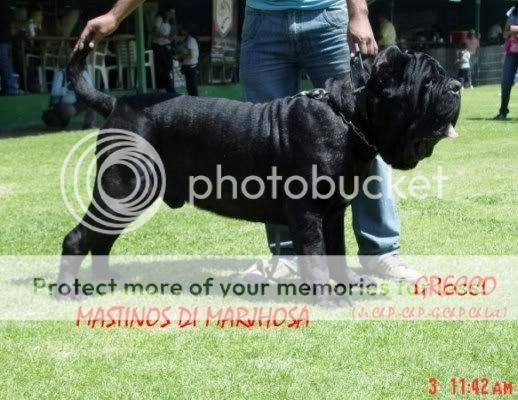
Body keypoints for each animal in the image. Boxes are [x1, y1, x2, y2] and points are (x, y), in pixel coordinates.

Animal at [58, 41, 464, 306]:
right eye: (428, 81)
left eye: (444, 76)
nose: (458, 86)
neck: (349, 118)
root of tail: (116, 102)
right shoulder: (308, 213)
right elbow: (316, 256)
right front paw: (329, 300)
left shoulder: (334, 212)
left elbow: (336, 250)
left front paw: (346, 284)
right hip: (121, 190)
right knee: (78, 238)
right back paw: (68, 291)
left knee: (102, 240)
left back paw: (104, 281)